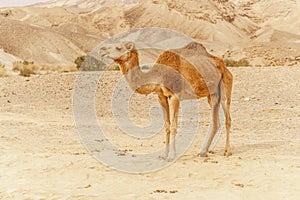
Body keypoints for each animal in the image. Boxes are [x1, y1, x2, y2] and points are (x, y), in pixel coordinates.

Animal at [99, 40, 233, 159]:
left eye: (118, 47)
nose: (101, 50)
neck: (158, 74)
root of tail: (224, 67)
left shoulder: (175, 96)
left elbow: (174, 126)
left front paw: (171, 156)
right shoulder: (161, 96)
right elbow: (167, 126)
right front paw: (164, 155)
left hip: (225, 85)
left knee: (227, 118)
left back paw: (227, 151)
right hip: (212, 94)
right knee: (216, 121)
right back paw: (203, 152)